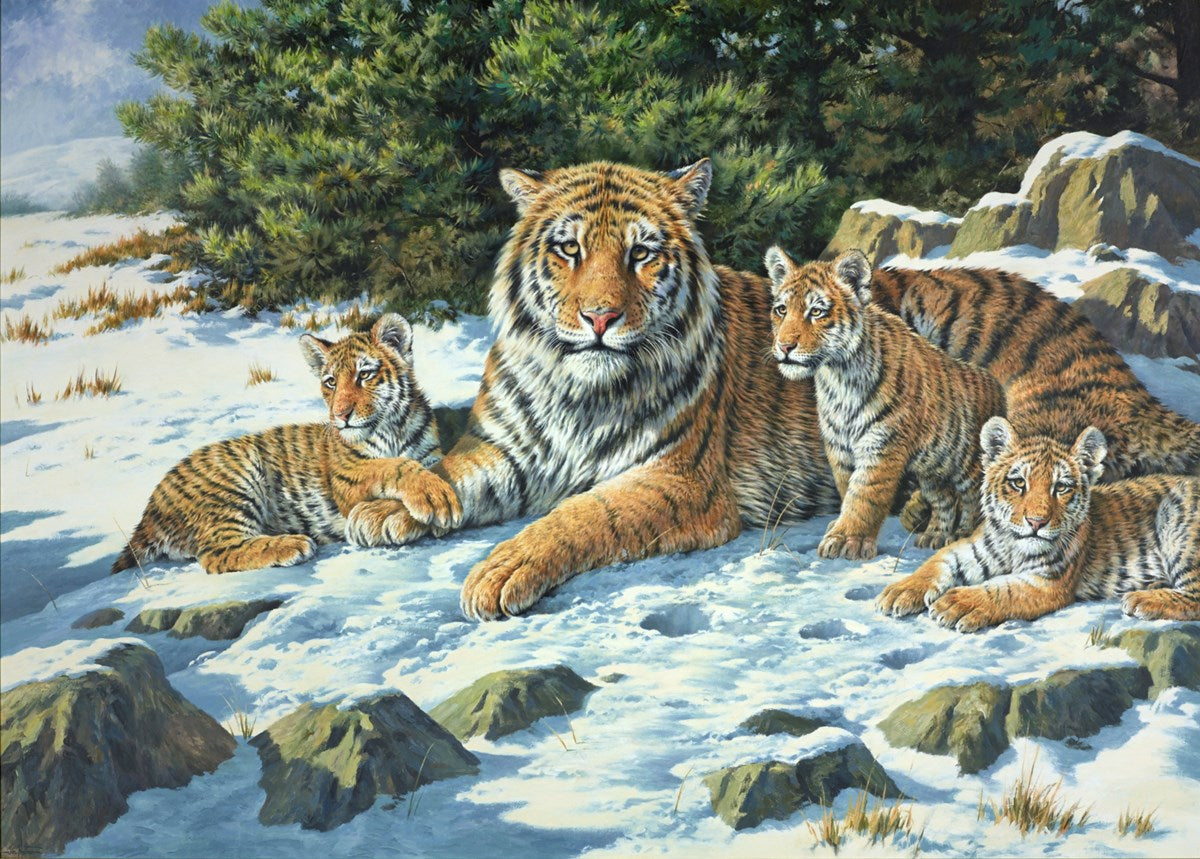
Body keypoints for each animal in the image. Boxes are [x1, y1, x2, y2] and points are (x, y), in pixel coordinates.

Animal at [112, 314, 461, 575]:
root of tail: (149, 509)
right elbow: (394, 466)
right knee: (216, 553)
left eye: (364, 375)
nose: (340, 415)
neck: (392, 427)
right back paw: (292, 544)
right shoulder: (349, 478)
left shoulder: (429, 455)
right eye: (330, 382)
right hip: (236, 480)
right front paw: (434, 498)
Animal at [389, 158, 841, 619]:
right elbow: (450, 470)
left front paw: (502, 569)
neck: (578, 394)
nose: (600, 317)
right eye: (570, 249)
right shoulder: (501, 448)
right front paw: (389, 508)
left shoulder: (680, 478)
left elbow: (586, 513)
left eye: (639, 253)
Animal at [764, 247, 1006, 560]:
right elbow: (848, 490)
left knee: (972, 499)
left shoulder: (882, 444)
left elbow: (865, 495)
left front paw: (846, 541)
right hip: (932, 473)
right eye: (781, 310)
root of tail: (997, 384)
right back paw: (936, 535)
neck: (837, 378)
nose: (784, 346)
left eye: (816, 311)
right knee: (945, 500)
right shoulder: (839, 447)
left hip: (968, 465)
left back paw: (961, 534)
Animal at [878, 416, 1200, 630]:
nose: (1036, 521)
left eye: (1061, 487)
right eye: (1019, 483)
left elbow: (1003, 590)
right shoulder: (972, 548)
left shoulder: (1048, 580)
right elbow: (937, 561)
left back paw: (1141, 600)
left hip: (1176, 522)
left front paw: (958, 603)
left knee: (1195, 598)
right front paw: (900, 592)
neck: (1012, 546)